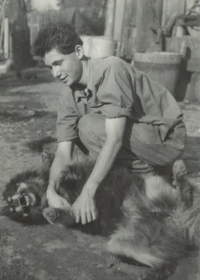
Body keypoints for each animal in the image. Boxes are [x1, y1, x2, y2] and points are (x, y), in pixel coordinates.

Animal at [1, 151, 200, 280]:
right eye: (13, 207)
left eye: (14, 198)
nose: (18, 204)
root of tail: (177, 220)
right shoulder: (76, 217)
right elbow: (65, 214)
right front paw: (50, 212)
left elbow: (57, 172)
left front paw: (47, 160)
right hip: (121, 243)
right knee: (167, 263)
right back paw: (152, 273)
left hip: (151, 185)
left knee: (186, 195)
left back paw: (180, 176)